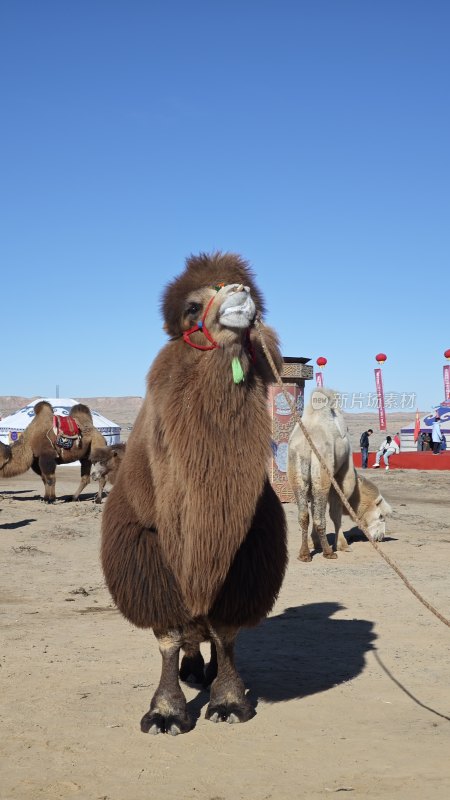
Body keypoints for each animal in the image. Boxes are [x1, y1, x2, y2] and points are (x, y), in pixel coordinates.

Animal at [100, 253, 286, 736]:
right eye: (191, 307)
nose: (239, 291)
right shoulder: (149, 552)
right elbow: (168, 635)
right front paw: (166, 712)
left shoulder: (245, 558)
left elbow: (226, 632)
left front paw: (229, 702)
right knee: (188, 633)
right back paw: (191, 671)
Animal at [288, 388, 390, 564]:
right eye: (381, 516)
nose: (380, 537)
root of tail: (306, 443)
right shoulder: (342, 477)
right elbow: (336, 514)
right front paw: (342, 544)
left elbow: (314, 509)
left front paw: (314, 541)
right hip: (323, 468)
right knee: (320, 516)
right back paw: (329, 552)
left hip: (296, 469)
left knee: (304, 515)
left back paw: (304, 554)